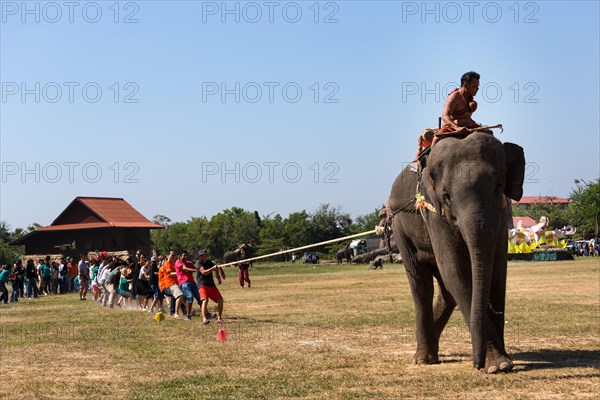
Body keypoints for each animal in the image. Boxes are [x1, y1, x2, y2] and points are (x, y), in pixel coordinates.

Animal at [390, 133, 524, 374]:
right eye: (446, 196)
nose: (477, 363)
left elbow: (498, 272)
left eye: (498, 187)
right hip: (399, 228)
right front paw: (497, 365)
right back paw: (423, 358)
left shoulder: (501, 213)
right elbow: (455, 270)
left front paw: (502, 363)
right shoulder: (433, 213)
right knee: (421, 285)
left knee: (446, 290)